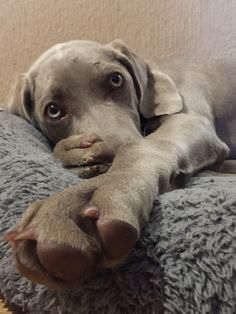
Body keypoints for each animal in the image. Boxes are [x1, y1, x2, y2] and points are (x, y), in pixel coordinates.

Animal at [3, 39, 236, 290]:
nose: (109, 157)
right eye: (54, 111)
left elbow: (142, 146)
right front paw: (76, 154)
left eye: (116, 79)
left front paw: (90, 196)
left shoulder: (190, 120)